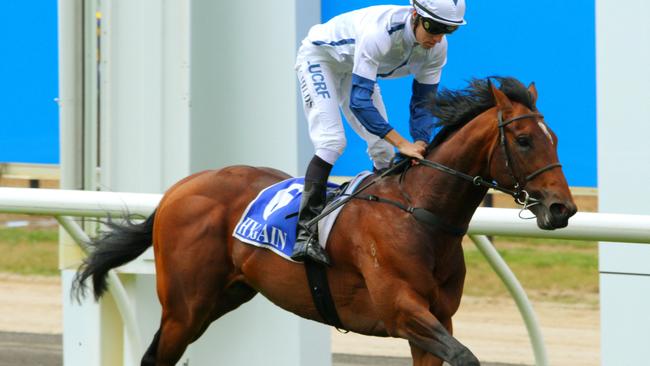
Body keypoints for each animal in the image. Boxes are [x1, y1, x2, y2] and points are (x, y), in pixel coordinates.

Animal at [73, 76, 576, 364]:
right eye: (525, 139)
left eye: (553, 137)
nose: (563, 208)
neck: (421, 213)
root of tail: (177, 189)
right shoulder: (402, 311)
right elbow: (466, 357)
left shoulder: (438, 319)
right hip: (185, 305)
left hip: (224, 295)